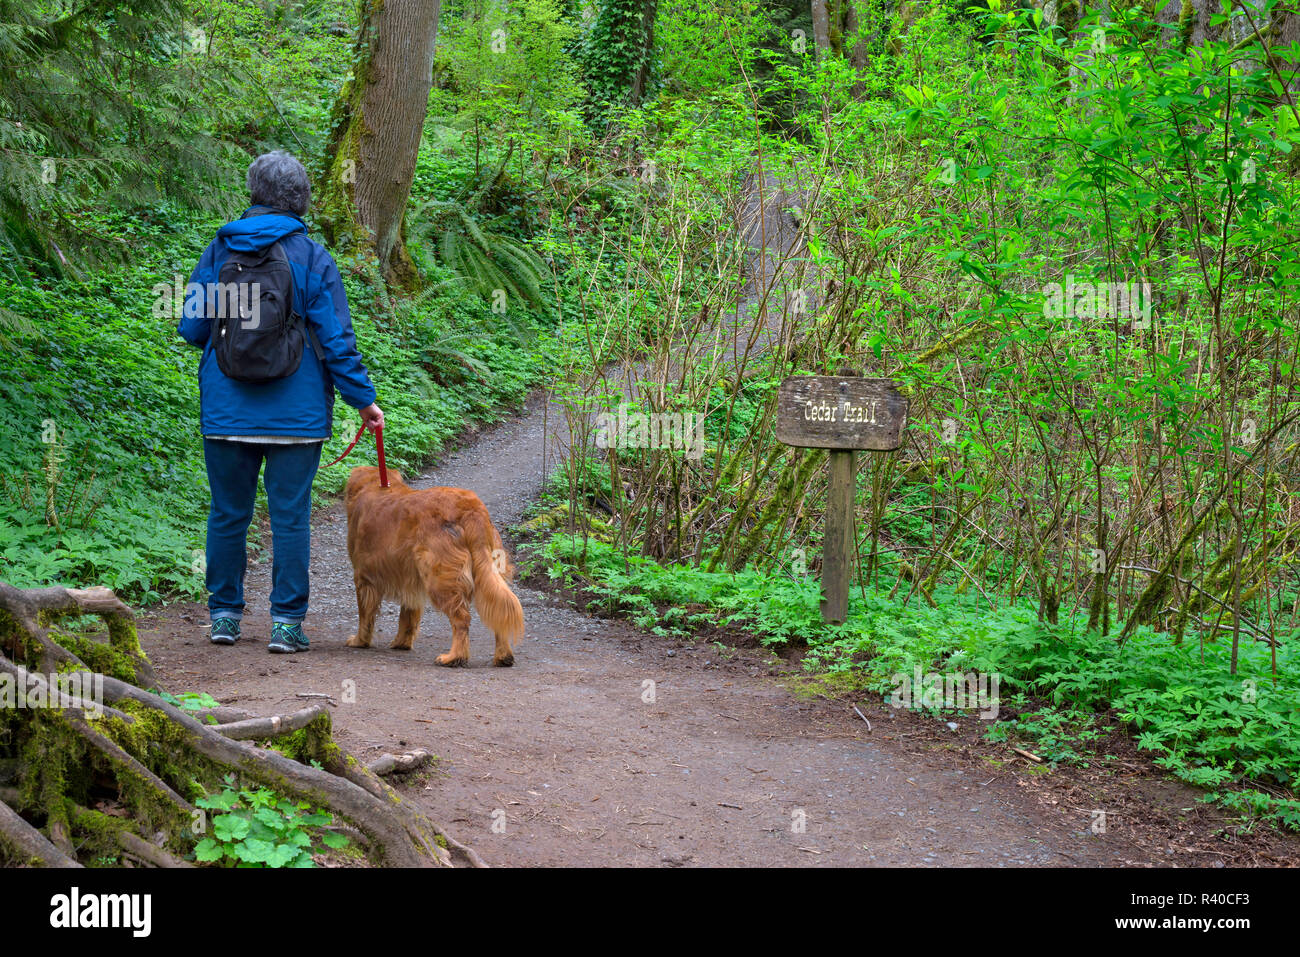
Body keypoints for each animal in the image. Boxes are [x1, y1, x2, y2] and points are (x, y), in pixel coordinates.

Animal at [345, 465, 527, 665]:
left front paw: (359, 641)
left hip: (440, 577)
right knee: (500, 611)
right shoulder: (410, 578)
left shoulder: (364, 578)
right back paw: (503, 656)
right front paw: (402, 642)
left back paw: (454, 657)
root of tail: (472, 508)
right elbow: (407, 615)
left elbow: (365, 615)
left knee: (462, 619)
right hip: (488, 569)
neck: (375, 484)